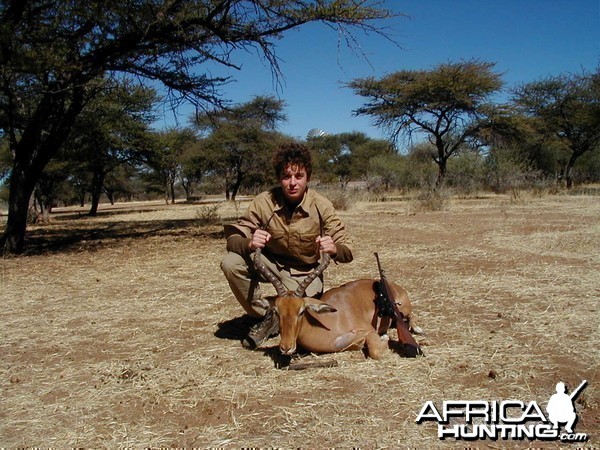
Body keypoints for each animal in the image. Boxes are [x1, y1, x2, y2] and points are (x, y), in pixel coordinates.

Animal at [251, 246, 424, 358]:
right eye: (276, 311)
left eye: (301, 311)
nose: (286, 347)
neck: (329, 322)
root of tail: (394, 286)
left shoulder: (369, 331)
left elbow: (375, 351)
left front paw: (386, 337)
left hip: (404, 309)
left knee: (411, 316)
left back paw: (418, 329)